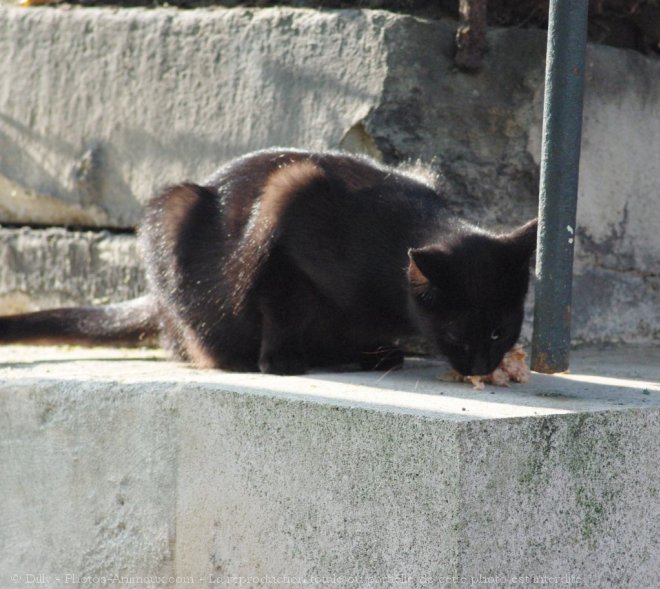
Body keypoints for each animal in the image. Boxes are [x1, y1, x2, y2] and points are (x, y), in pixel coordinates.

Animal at [0, 149, 536, 374]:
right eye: (458, 334)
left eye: (499, 331)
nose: (483, 364)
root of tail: (157, 305)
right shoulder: (287, 206)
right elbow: (282, 307)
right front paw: (283, 361)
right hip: (169, 212)